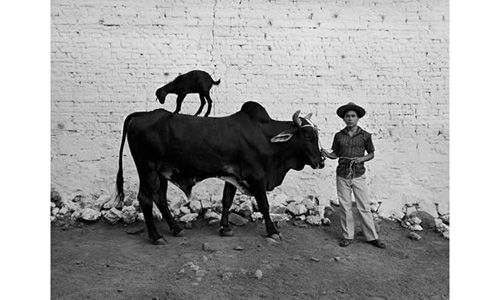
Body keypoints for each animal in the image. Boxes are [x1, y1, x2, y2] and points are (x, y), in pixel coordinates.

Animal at [115, 101, 326, 244]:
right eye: (308, 136)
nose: (321, 161)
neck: (266, 138)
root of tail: (141, 115)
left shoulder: (233, 176)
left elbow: (227, 200)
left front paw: (225, 228)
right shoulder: (257, 177)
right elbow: (264, 205)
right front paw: (272, 231)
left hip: (162, 173)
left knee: (159, 198)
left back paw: (176, 229)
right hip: (147, 169)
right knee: (145, 198)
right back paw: (156, 236)